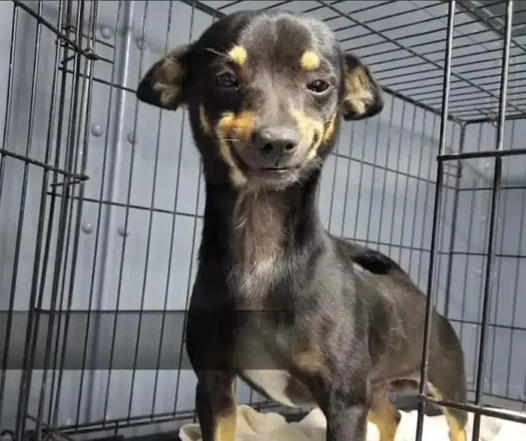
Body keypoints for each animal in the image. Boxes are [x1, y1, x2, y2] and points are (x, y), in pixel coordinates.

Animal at [138, 9, 468, 440]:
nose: (277, 141)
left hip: (447, 389)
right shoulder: (214, 387)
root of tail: (411, 288)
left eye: (319, 85)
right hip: (377, 389)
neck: (261, 248)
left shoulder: (345, 402)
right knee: (391, 416)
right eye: (225, 78)